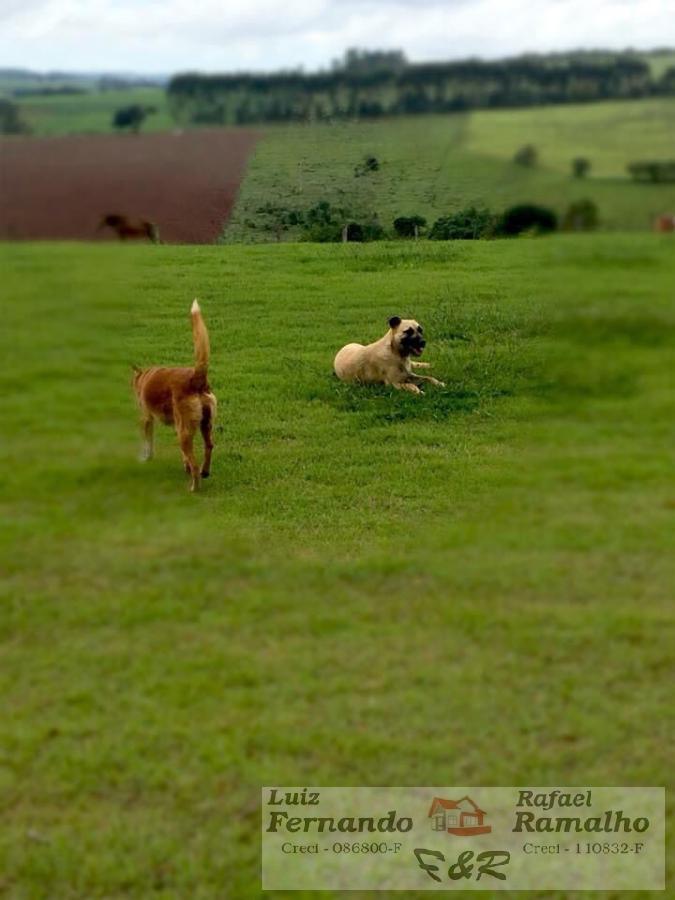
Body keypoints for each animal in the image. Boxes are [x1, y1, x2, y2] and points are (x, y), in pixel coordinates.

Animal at [132, 300, 217, 492]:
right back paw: (205, 471)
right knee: (208, 446)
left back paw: (194, 487)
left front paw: (145, 457)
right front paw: (184, 465)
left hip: (185, 432)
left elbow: (148, 442)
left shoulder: (146, 418)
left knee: (194, 462)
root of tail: (196, 378)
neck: (144, 376)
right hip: (205, 424)